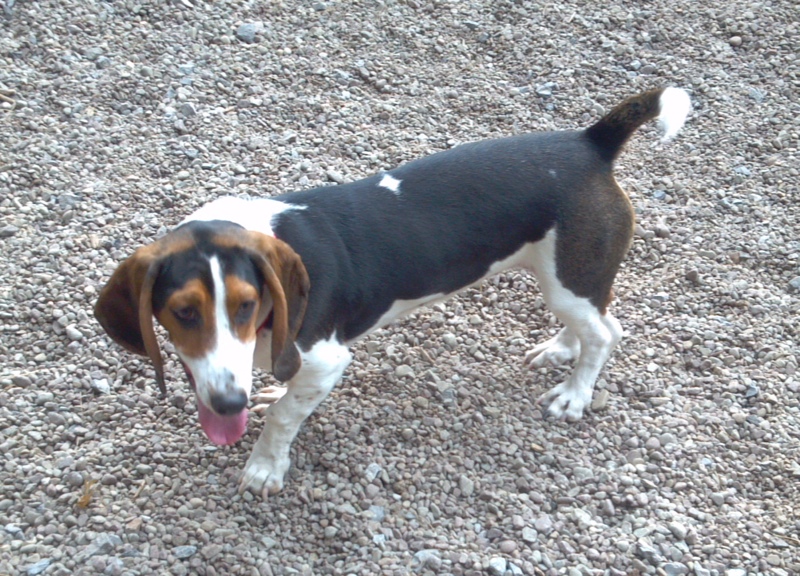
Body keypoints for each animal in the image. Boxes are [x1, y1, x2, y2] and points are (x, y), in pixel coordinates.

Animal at [95, 87, 691, 497]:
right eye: (183, 312)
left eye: (246, 305)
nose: (229, 404)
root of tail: (591, 143)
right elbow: (281, 393)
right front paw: (265, 399)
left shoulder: (328, 360)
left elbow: (286, 415)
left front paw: (265, 466)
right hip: (565, 278)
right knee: (593, 320)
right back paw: (560, 350)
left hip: (570, 273)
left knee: (606, 332)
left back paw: (575, 393)